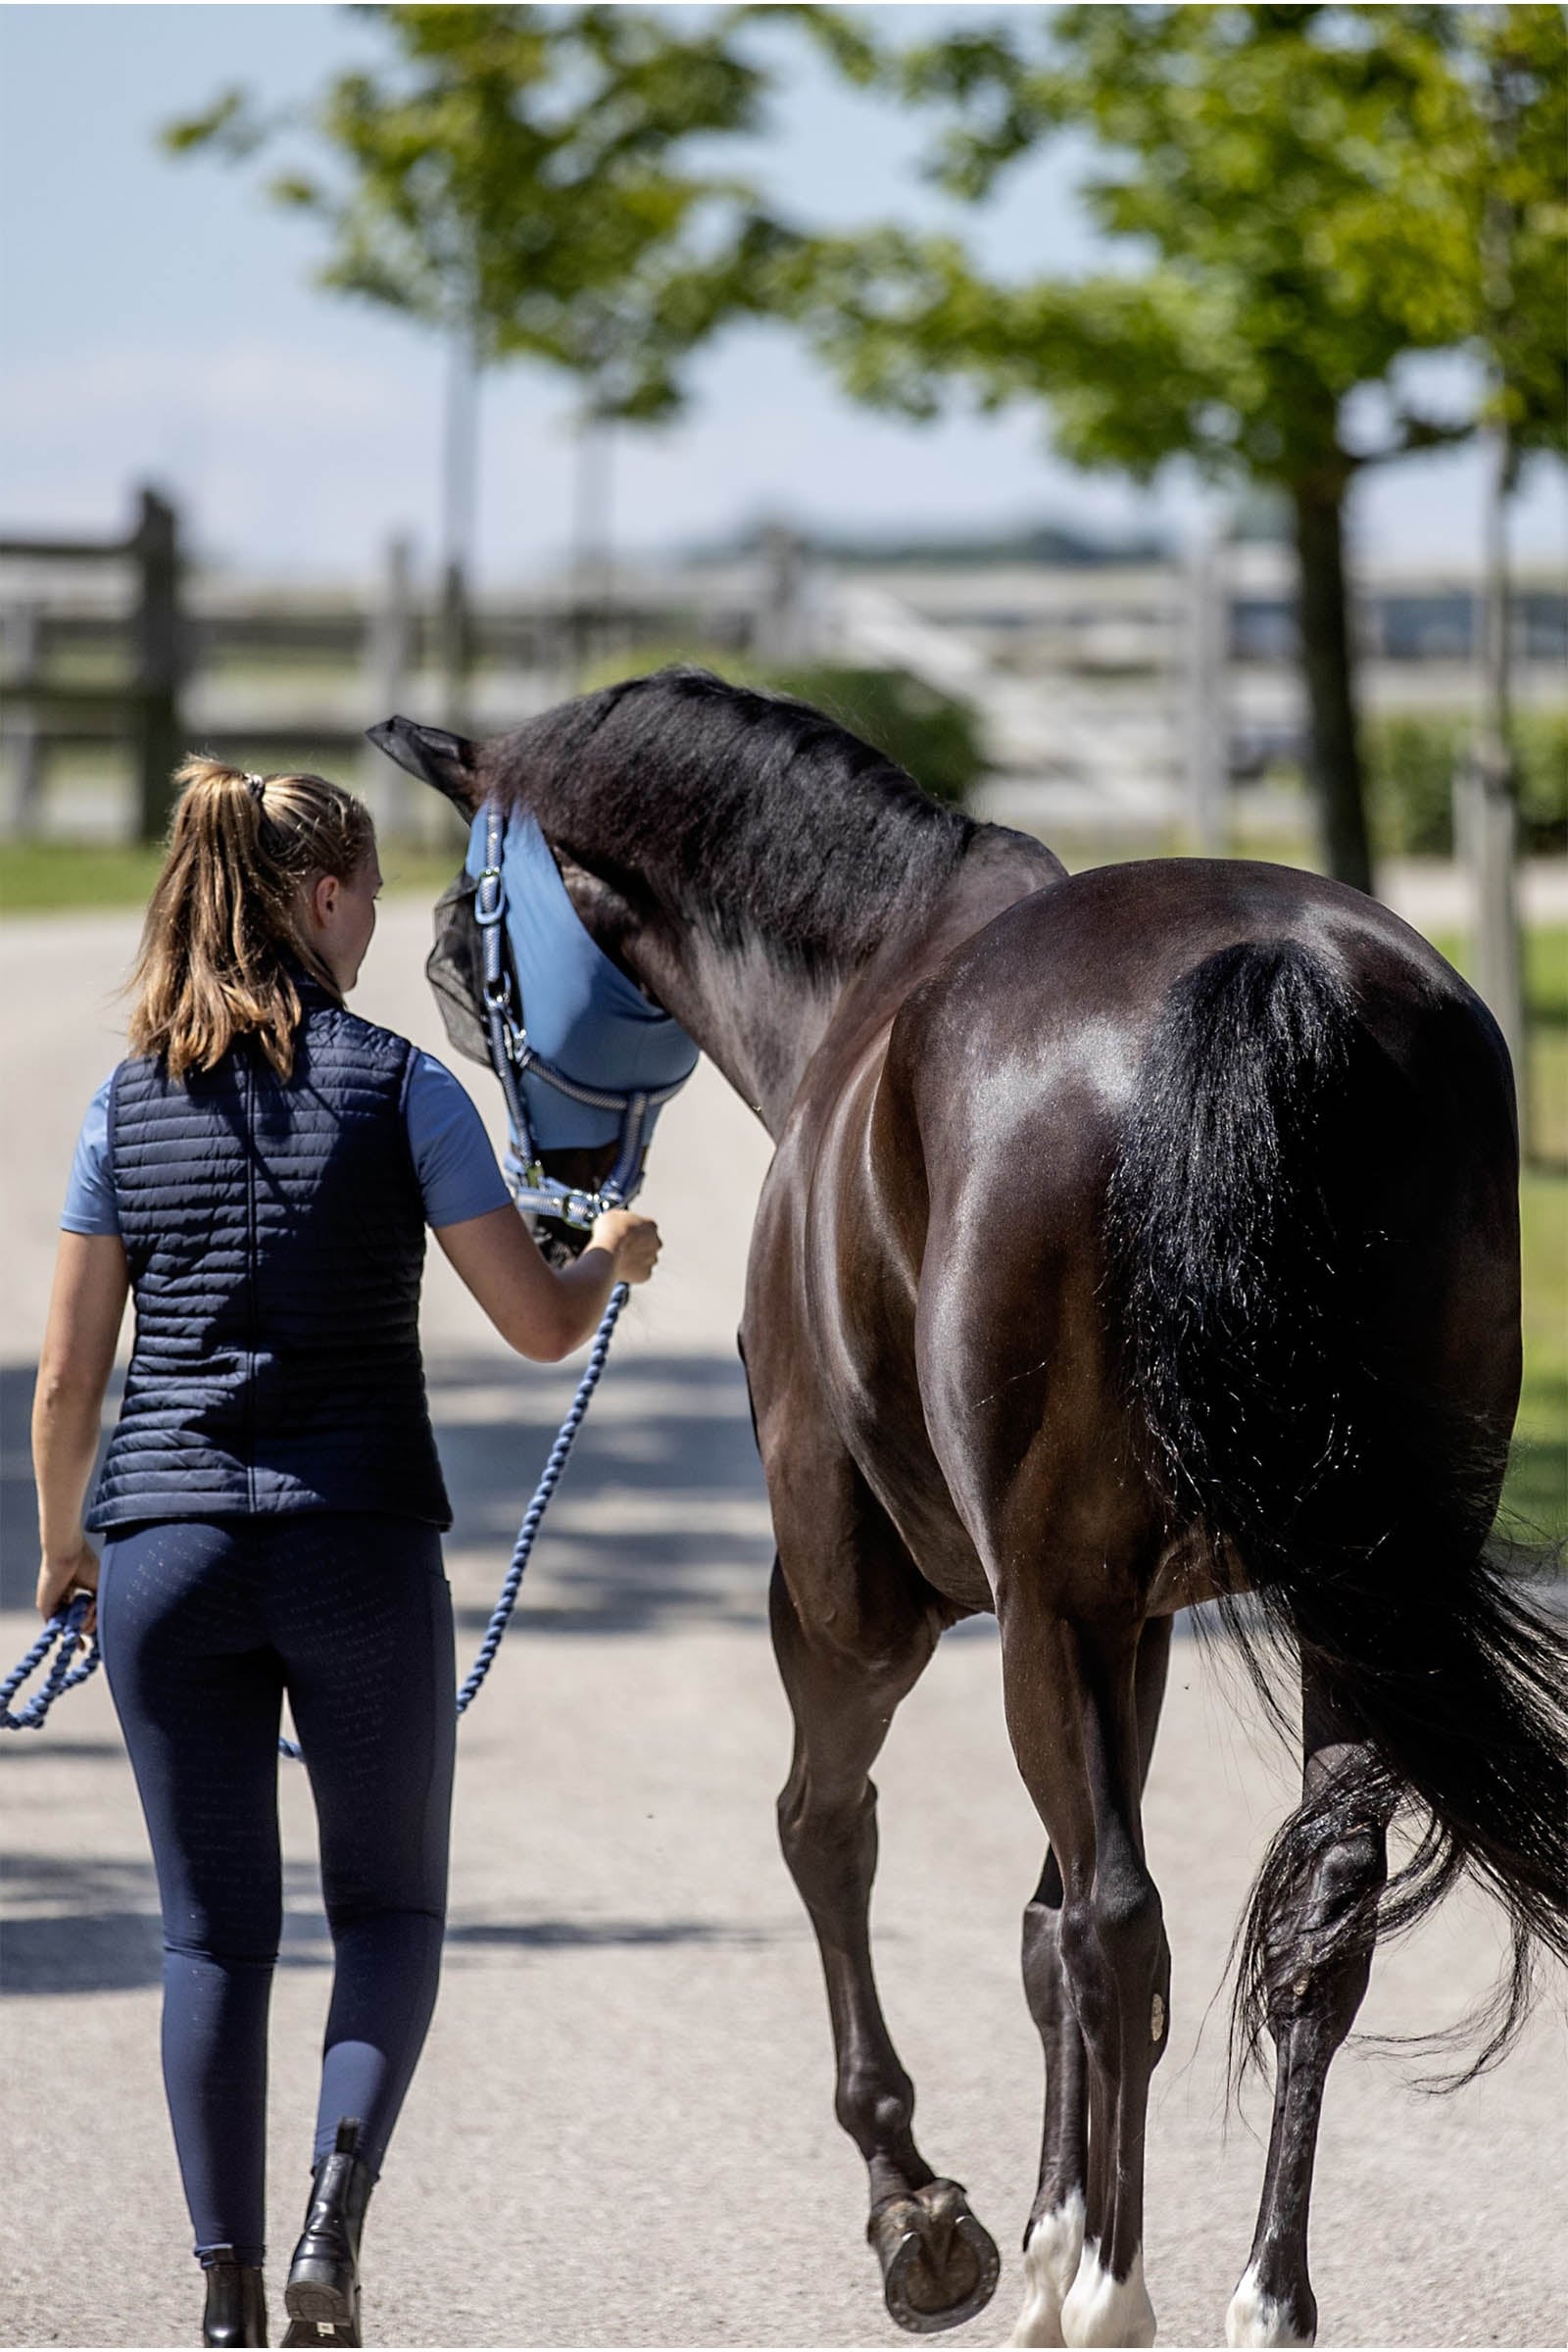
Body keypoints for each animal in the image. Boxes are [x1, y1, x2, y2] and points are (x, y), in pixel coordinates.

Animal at [371, 673, 1567, 2349]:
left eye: (450, 967)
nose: (548, 1214)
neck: (868, 980)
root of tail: (1281, 985)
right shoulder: (1129, 1621)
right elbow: (1040, 1934)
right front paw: (1049, 2225)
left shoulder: (859, 1602)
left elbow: (831, 1834)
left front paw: (925, 2212)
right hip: (1356, 1599)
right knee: (1311, 1918)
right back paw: (1261, 2295)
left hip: (1035, 1608)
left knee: (1121, 1916)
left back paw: (1116, 2290)